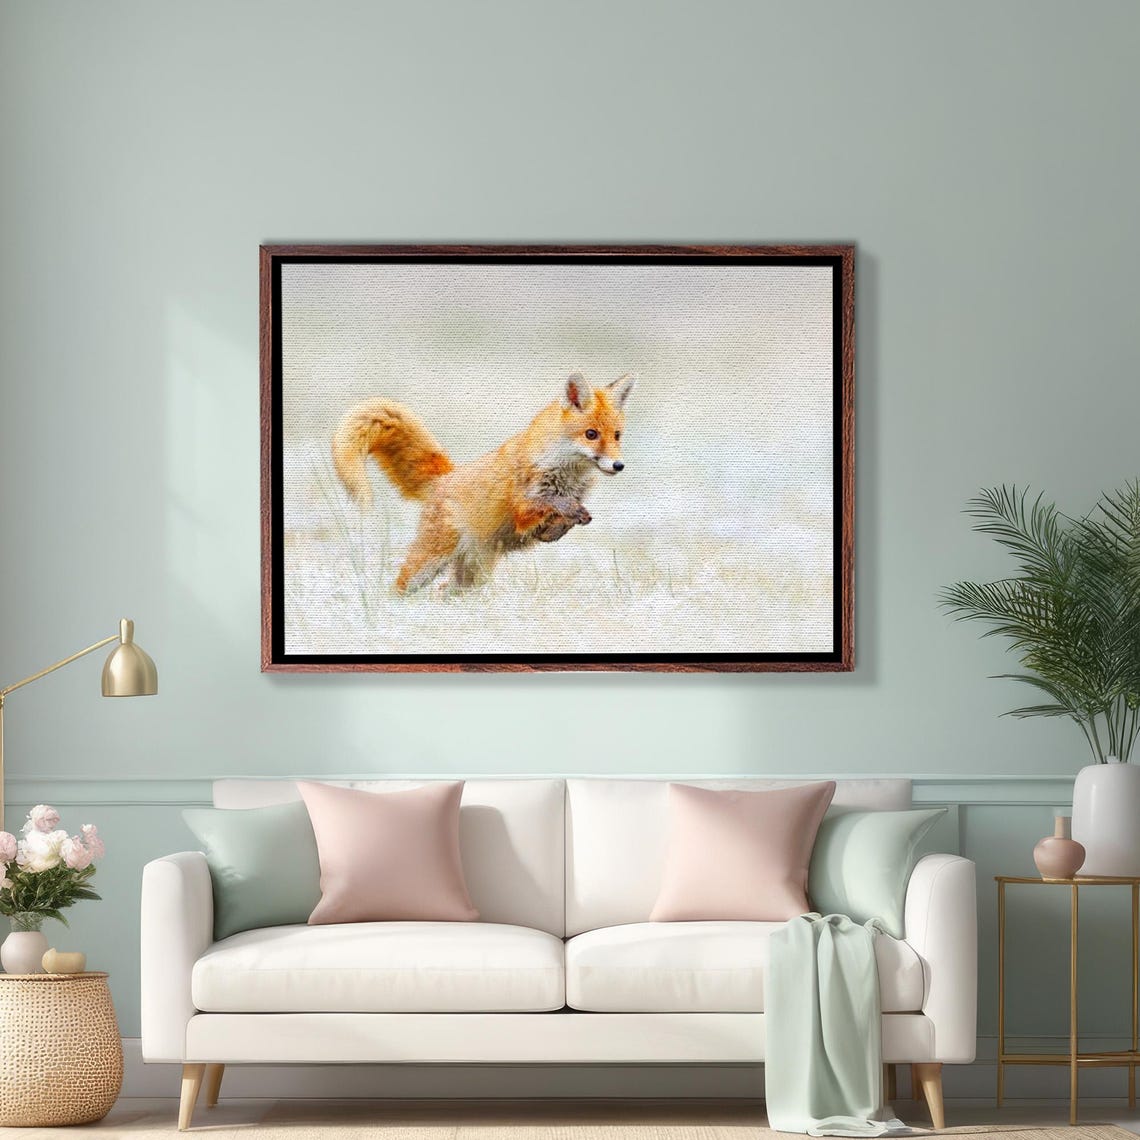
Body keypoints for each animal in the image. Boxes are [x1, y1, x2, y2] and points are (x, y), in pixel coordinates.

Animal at [331, 371, 636, 593]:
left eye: (617, 436)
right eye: (591, 434)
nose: (618, 466)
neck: (566, 472)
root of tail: (446, 476)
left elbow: (562, 522)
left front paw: (567, 522)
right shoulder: (522, 507)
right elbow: (549, 502)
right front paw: (568, 509)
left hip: (474, 574)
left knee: (446, 591)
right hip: (431, 560)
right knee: (402, 585)